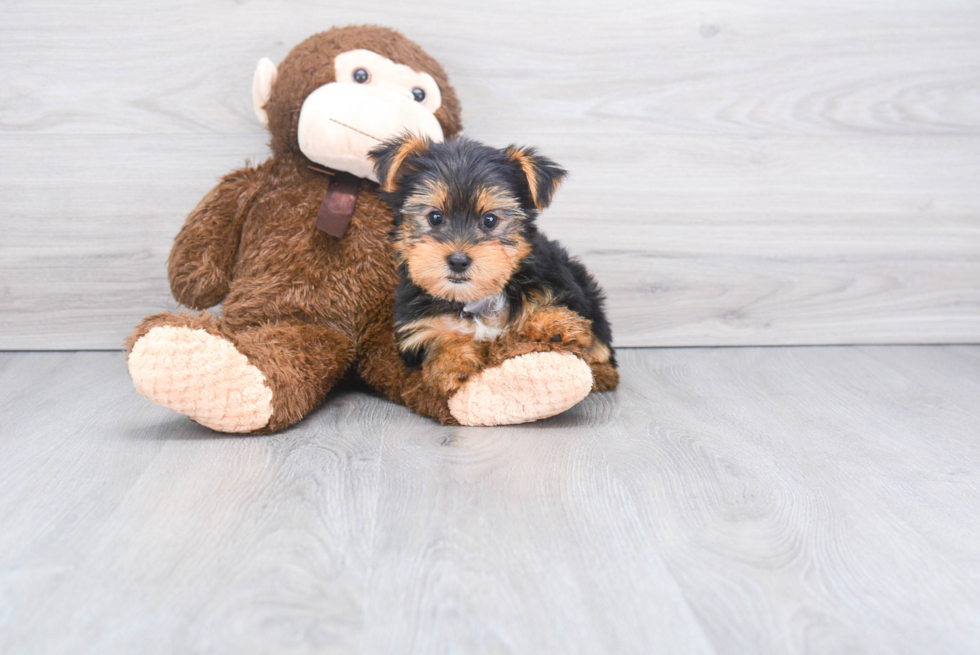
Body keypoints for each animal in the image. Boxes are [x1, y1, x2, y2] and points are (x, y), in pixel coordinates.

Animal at [372, 135, 616, 400]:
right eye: (435, 218)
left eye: (490, 220)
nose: (458, 261)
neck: (476, 298)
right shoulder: (417, 329)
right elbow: (438, 340)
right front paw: (450, 361)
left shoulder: (559, 284)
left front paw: (554, 324)